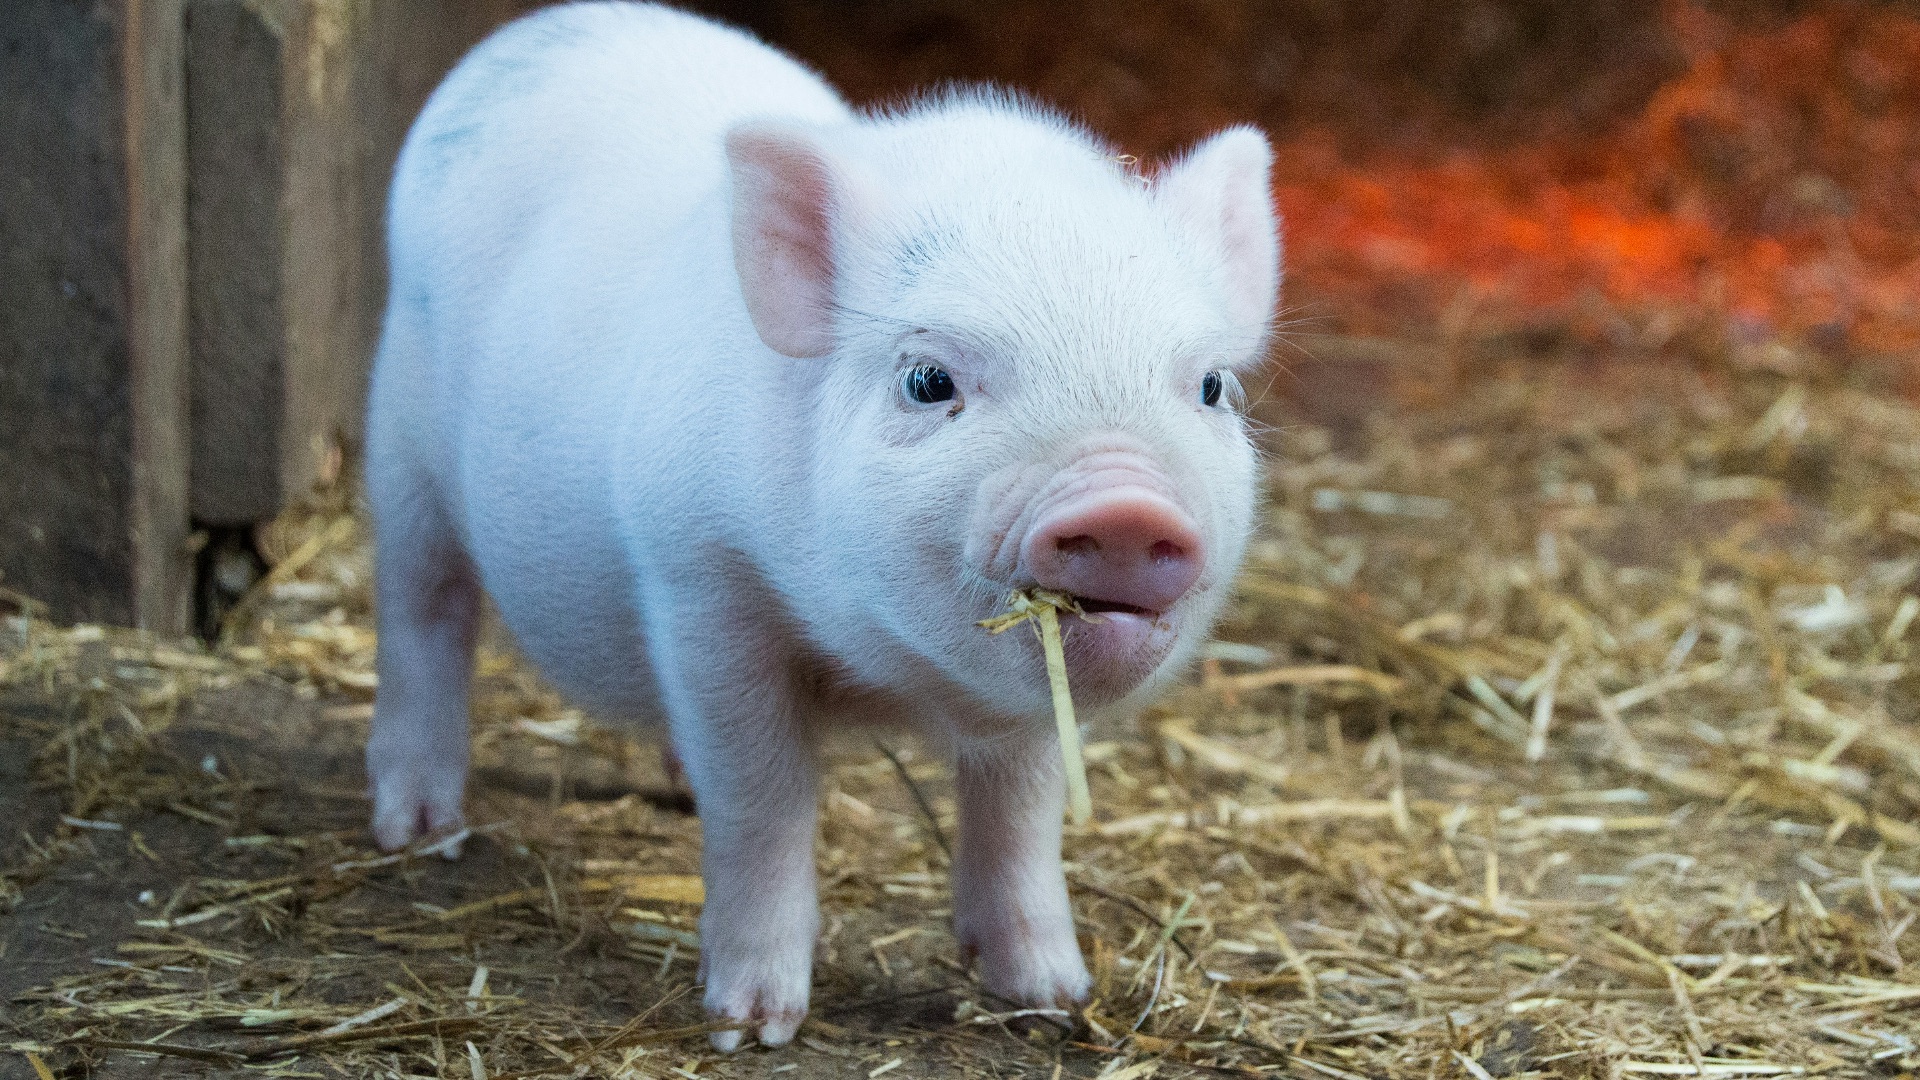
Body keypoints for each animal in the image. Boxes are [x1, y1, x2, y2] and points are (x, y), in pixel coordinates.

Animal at [364, 0, 1279, 1051]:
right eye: (928, 379)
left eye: (1210, 387)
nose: (1125, 504)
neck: (885, 675)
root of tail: (544, 30)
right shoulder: (699, 579)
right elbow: (762, 798)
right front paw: (751, 1027)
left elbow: (1021, 810)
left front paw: (1053, 998)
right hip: (400, 442)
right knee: (424, 609)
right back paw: (418, 831)